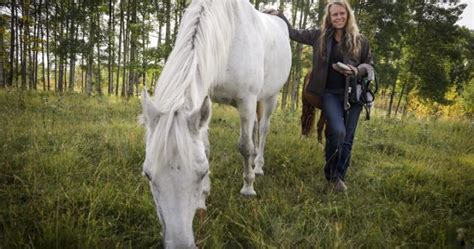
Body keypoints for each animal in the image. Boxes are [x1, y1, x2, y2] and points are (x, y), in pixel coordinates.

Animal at [139, 0, 290, 247]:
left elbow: (245, 147)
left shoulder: (247, 100)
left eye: (200, 174)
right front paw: (203, 199)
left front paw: (248, 188)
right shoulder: (204, 98)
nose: (180, 243)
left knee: (263, 131)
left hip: (270, 97)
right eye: (148, 175)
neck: (229, 36)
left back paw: (258, 167)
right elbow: (207, 148)